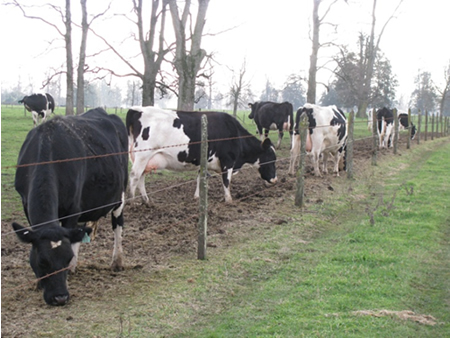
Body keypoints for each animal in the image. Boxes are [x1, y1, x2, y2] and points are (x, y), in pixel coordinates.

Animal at [11, 108, 128, 306]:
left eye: (66, 259)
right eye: (42, 262)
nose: (60, 297)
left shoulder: (73, 208)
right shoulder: (26, 204)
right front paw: (37, 282)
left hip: (119, 194)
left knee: (117, 224)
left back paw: (117, 262)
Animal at [126, 107, 278, 203]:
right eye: (271, 158)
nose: (275, 180)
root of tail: (137, 110)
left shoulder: (204, 161)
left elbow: (201, 178)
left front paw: (197, 197)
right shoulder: (228, 161)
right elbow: (226, 181)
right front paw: (229, 200)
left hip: (147, 160)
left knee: (141, 178)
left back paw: (146, 201)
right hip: (142, 156)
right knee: (134, 176)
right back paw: (132, 202)